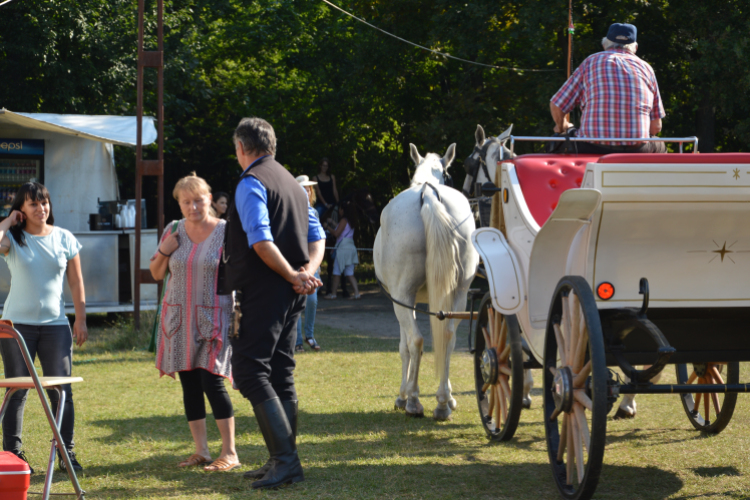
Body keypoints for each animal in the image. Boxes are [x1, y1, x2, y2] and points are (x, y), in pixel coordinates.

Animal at [376, 143, 482, 420]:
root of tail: (429, 195)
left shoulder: (403, 301)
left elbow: (404, 347)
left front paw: (402, 396)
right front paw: (450, 398)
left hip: (402, 296)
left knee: (416, 340)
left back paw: (413, 401)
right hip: (459, 294)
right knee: (448, 337)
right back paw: (443, 403)